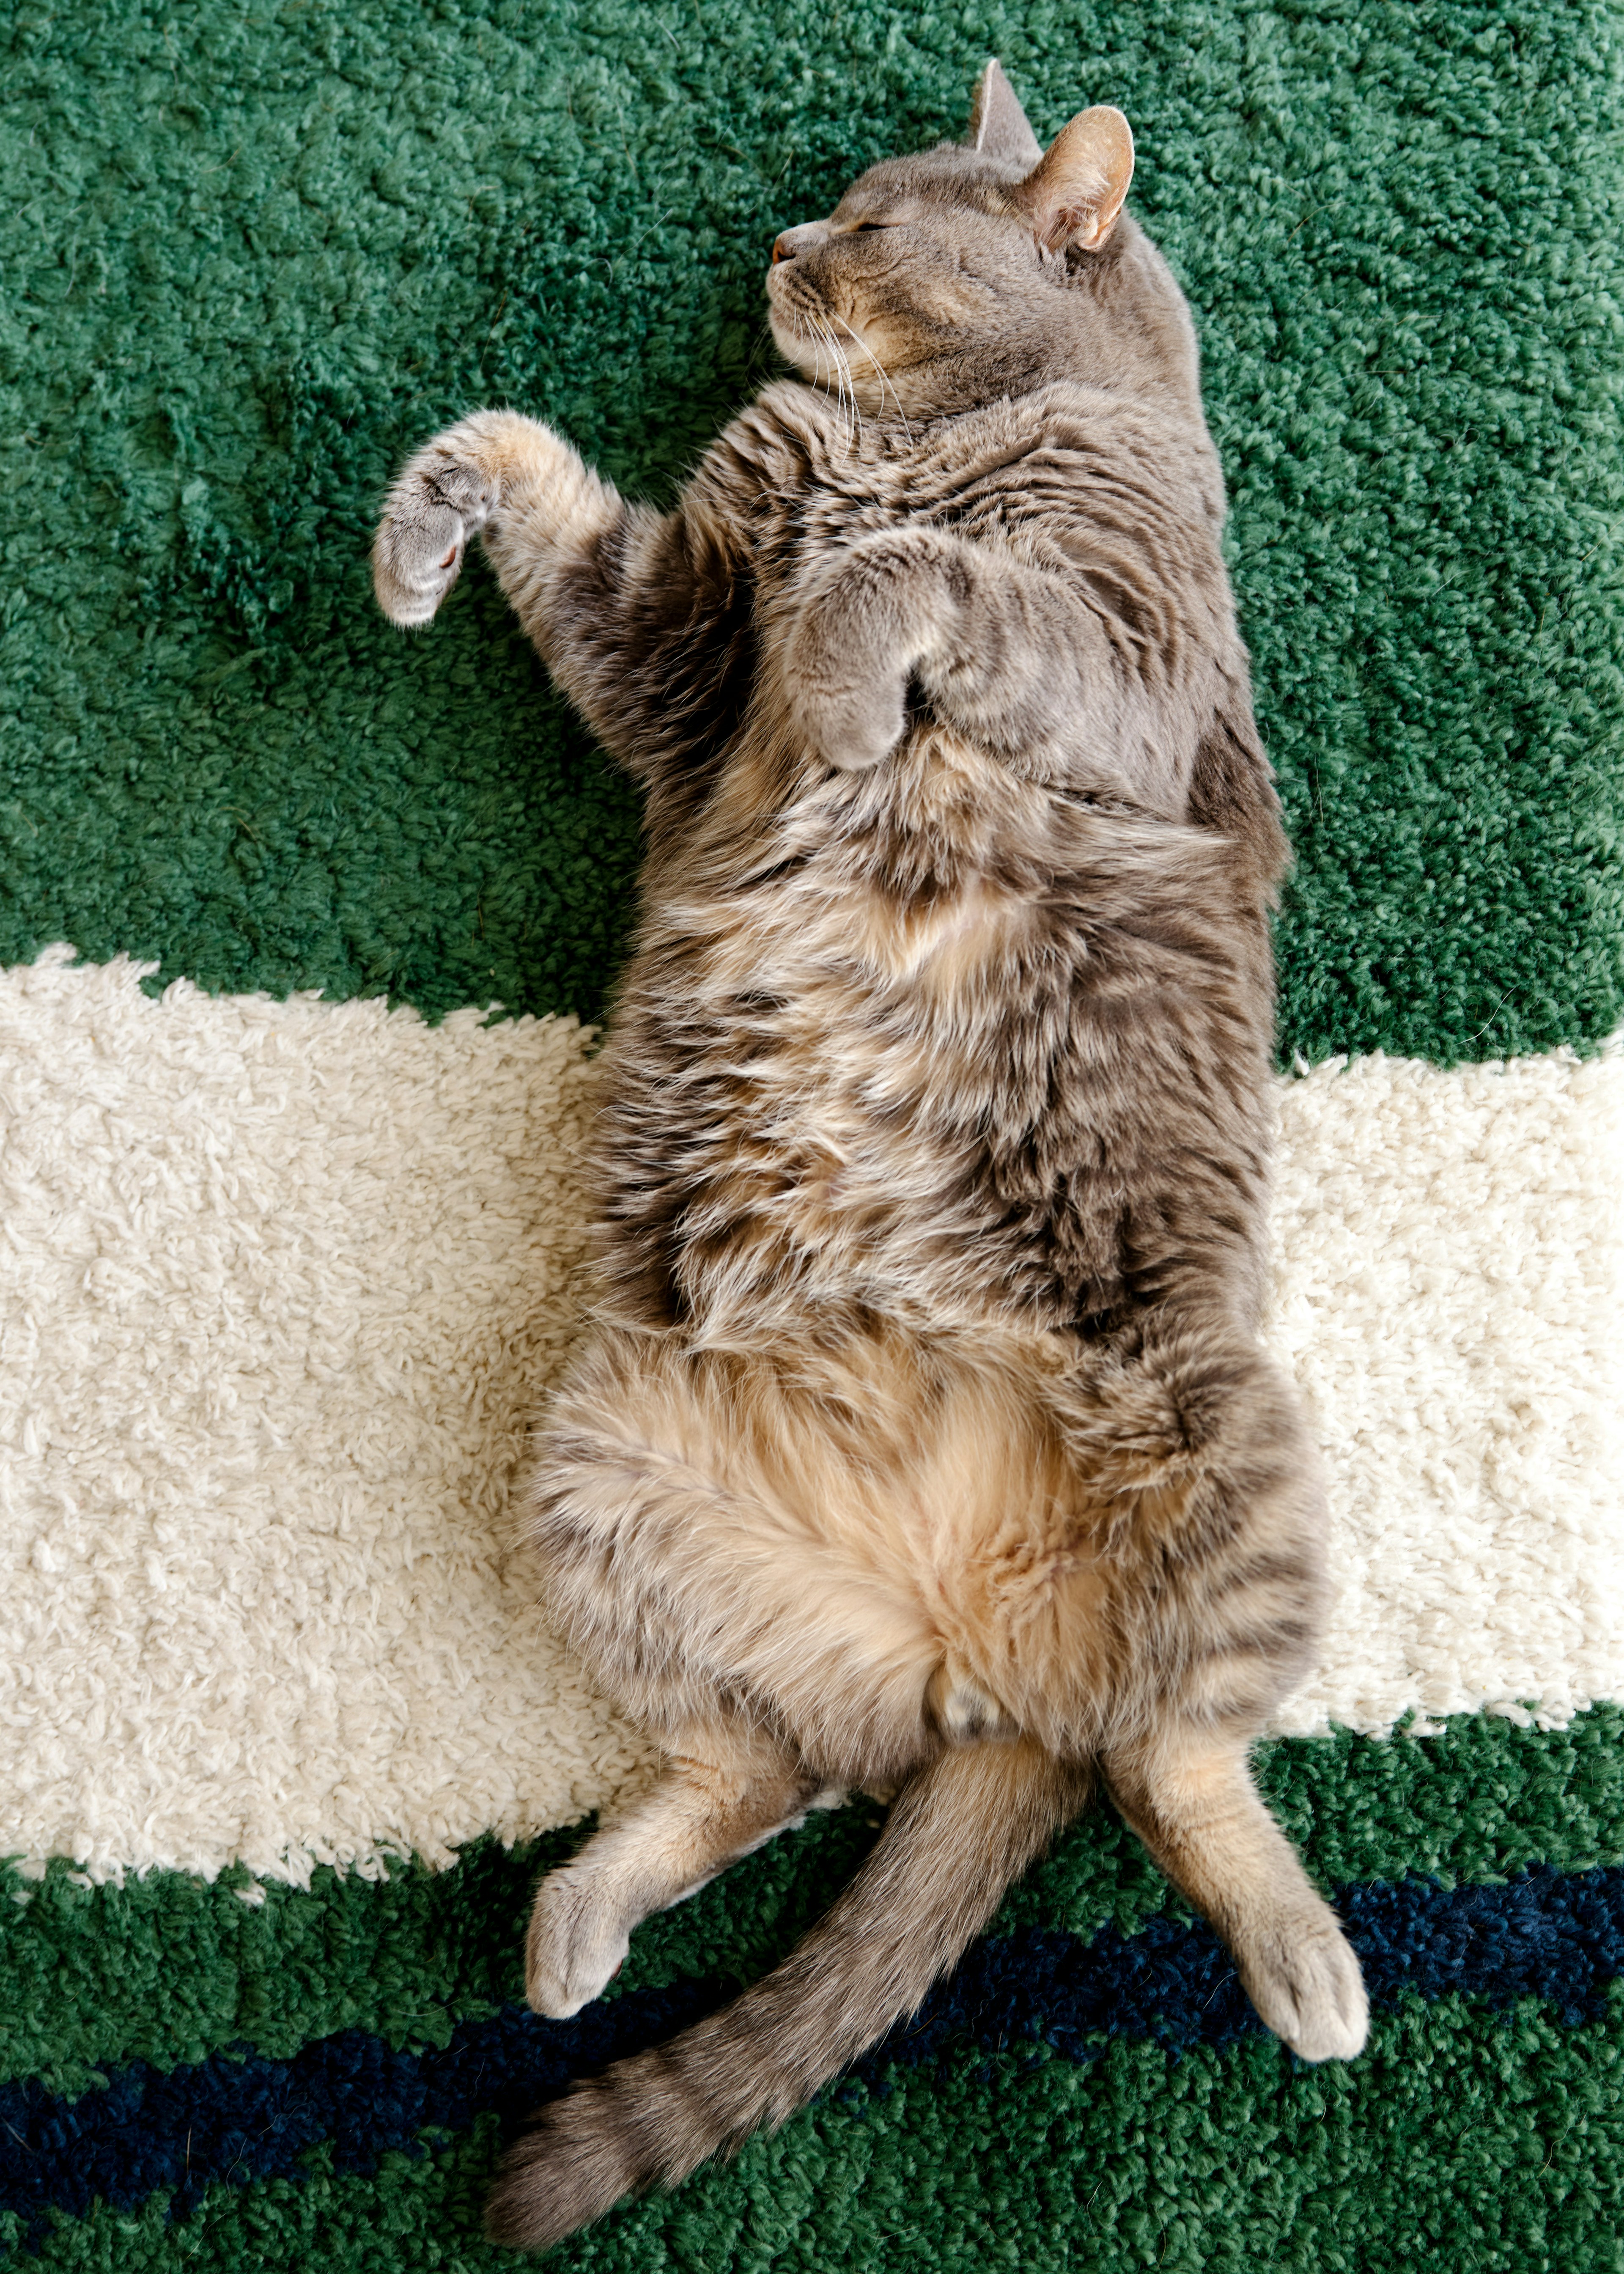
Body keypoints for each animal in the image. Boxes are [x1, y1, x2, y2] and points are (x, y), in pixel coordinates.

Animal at [370, 58, 1364, 2255]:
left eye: (874, 222)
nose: (777, 244)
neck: (906, 429)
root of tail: (975, 1649)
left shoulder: (1109, 647)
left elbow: (904, 577)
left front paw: (844, 686)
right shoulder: (670, 639)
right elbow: (534, 466)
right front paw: (424, 523)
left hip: (1225, 1437)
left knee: (1168, 1753)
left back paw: (1308, 1966)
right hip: (606, 1478)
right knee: (766, 1773)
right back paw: (579, 1914)